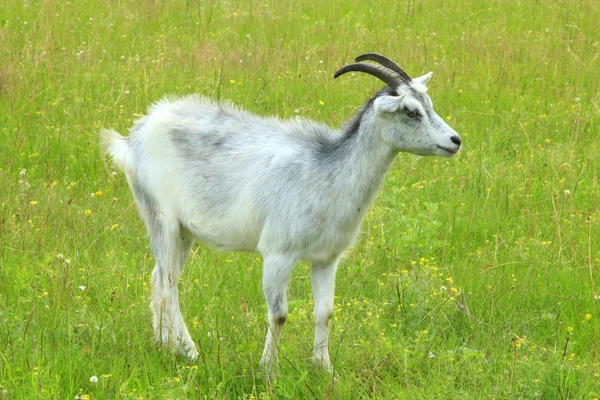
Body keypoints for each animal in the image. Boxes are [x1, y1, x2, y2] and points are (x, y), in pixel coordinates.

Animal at [101, 52, 462, 376]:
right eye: (411, 111)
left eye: (429, 104)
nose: (455, 140)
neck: (327, 173)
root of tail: (135, 135)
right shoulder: (278, 253)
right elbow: (279, 315)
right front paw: (268, 372)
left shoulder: (326, 258)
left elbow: (325, 312)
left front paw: (324, 370)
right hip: (161, 218)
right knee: (169, 284)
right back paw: (188, 351)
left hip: (184, 232)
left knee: (160, 278)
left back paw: (165, 345)